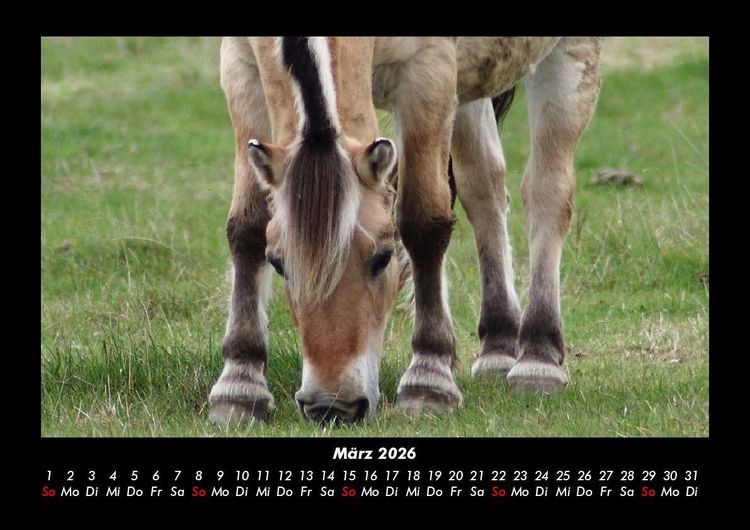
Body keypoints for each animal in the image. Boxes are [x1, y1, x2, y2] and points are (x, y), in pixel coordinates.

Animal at [208, 37, 602, 425]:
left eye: (383, 257)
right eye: (278, 263)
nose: (333, 407)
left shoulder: (429, 72)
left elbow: (422, 223)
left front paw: (429, 379)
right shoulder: (240, 68)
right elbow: (248, 227)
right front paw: (240, 386)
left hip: (569, 60)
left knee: (546, 193)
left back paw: (538, 358)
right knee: (484, 187)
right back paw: (498, 346)